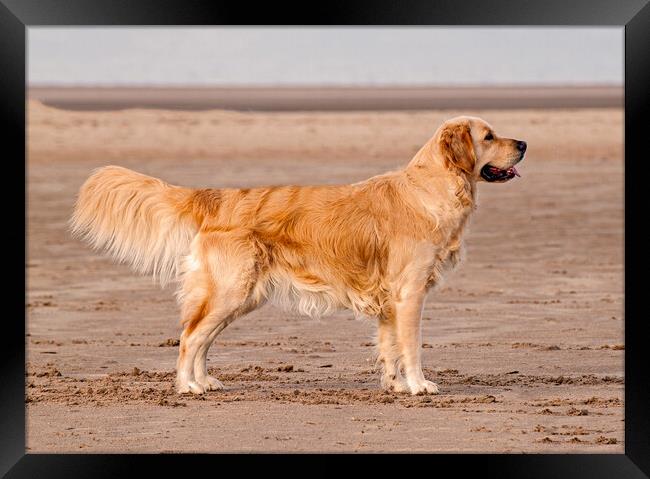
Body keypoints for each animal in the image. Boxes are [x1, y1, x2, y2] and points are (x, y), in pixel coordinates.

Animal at [71, 116, 524, 398]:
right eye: (488, 136)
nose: (523, 143)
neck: (432, 188)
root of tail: (215, 198)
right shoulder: (409, 293)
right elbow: (411, 347)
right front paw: (419, 385)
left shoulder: (389, 301)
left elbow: (390, 346)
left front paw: (395, 385)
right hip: (231, 291)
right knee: (189, 338)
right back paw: (189, 387)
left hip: (240, 296)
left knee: (200, 337)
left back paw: (206, 380)